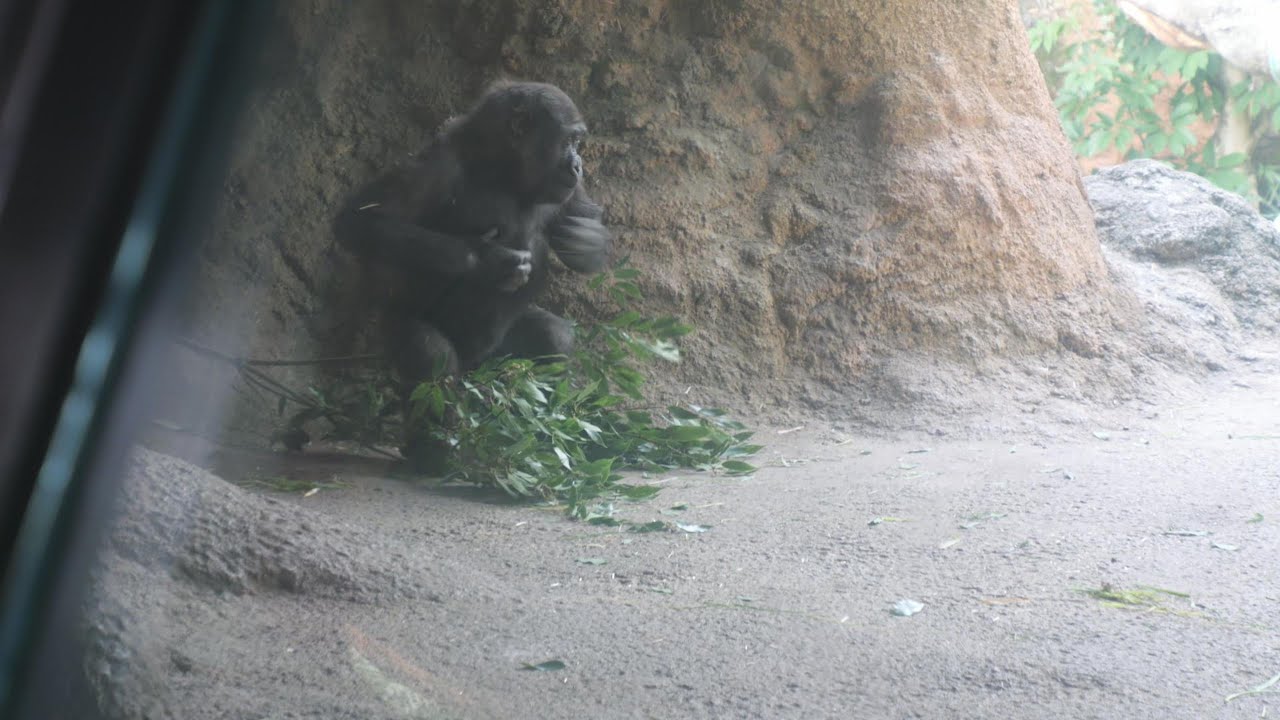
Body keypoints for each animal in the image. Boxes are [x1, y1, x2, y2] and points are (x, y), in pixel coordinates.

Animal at [334, 81, 611, 468]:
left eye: (578, 142)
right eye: (568, 141)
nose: (577, 163)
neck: (505, 170)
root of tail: (475, 369)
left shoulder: (567, 191)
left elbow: (586, 223)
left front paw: (588, 240)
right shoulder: (436, 164)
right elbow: (362, 220)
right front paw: (487, 259)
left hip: (495, 362)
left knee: (552, 338)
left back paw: (536, 437)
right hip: (399, 338)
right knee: (429, 352)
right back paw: (434, 453)